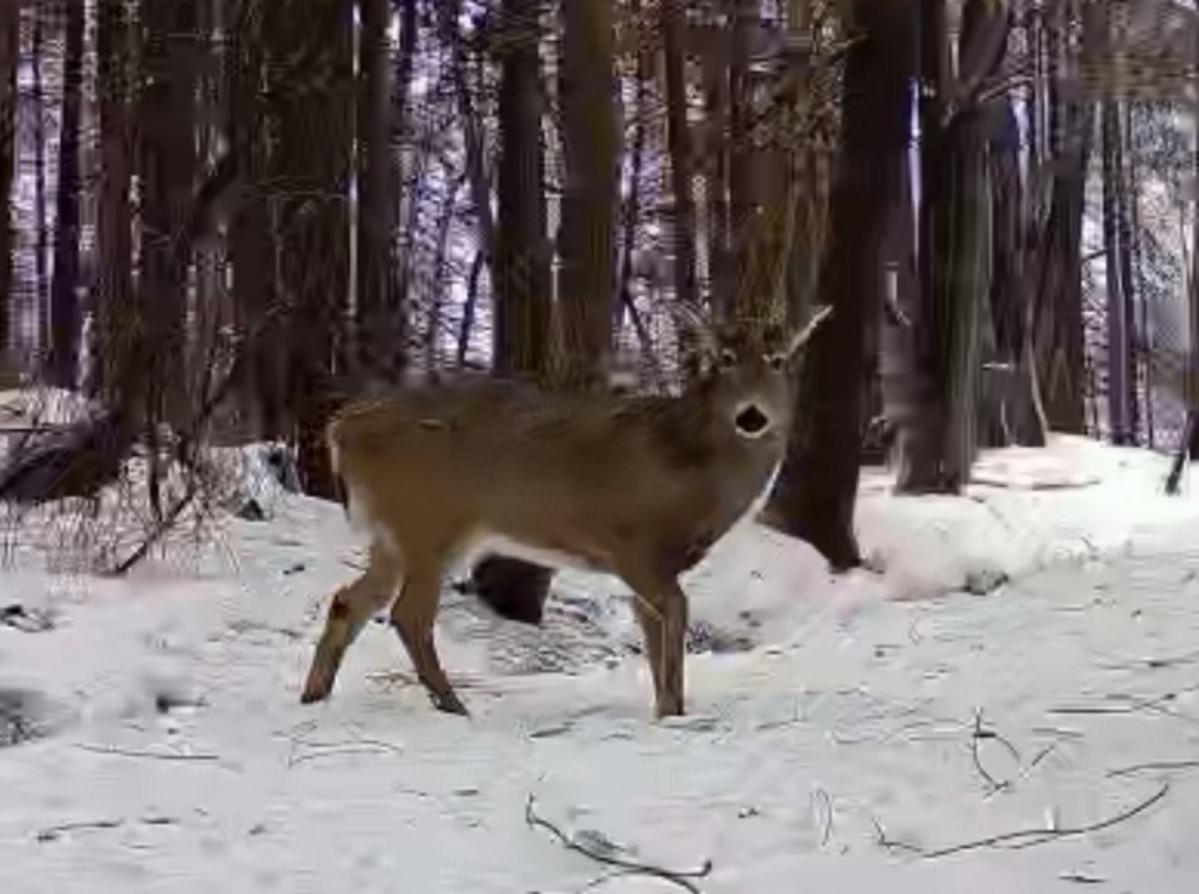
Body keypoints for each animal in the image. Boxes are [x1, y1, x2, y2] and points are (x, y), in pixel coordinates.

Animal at [299, 304, 833, 719]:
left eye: (778, 360)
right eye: (725, 359)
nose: (751, 416)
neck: (692, 471)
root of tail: (341, 429)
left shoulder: (651, 565)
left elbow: (653, 629)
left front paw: (667, 709)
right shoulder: (632, 543)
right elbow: (676, 615)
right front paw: (676, 710)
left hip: (391, 534)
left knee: (349, 601)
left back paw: (314, 696)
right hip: (428, 519)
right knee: (408, 614)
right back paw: (454, 706)